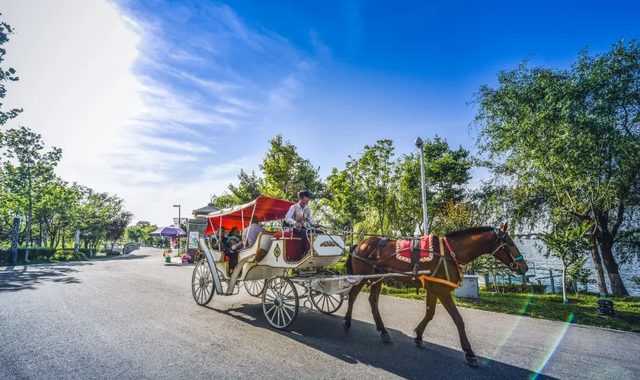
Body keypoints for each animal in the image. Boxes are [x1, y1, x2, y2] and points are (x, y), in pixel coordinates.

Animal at [342, 224, 528, 366]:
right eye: (510, 243)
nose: (524, 267)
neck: (450, 253)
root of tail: (361, 243)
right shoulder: (442, 290)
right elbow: (458, 319)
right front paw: (469, 351)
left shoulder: (433, 288)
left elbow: (430, 313)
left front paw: (418, 335)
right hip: (361, 275)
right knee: (353, 296)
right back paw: (347, 321)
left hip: (377, 276)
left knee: (373, 301)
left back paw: (383, 331)